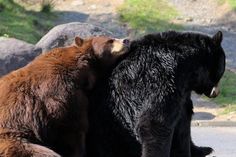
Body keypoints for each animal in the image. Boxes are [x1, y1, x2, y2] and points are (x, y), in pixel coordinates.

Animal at [0, 36, 130, 157]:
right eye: (110, 40)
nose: (126, 40)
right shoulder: (59, 90)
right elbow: (72, 124)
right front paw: (79, 150)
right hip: (13, 137)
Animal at [86, 31, 225, 157]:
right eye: (221, 71)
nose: (216, 93)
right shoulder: (161, 77)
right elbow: (155, 123)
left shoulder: (182, 92)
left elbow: (184, 120)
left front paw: (202, 149)